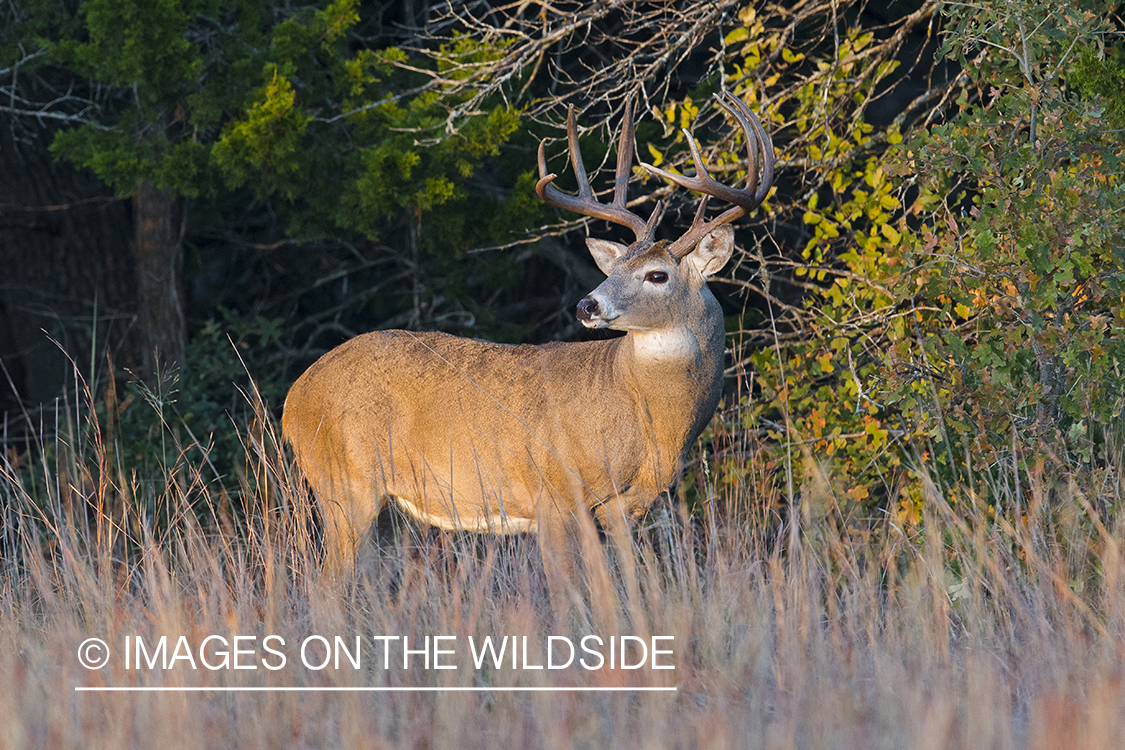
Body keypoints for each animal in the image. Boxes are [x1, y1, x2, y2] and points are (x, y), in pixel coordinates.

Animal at [281, 91, 774, 580]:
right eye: (613, 268)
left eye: (657, 275)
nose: (587, 305)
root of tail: (293, 400)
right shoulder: (554, 492)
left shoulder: (624, 509)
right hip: (345, 483)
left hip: (389, 511)